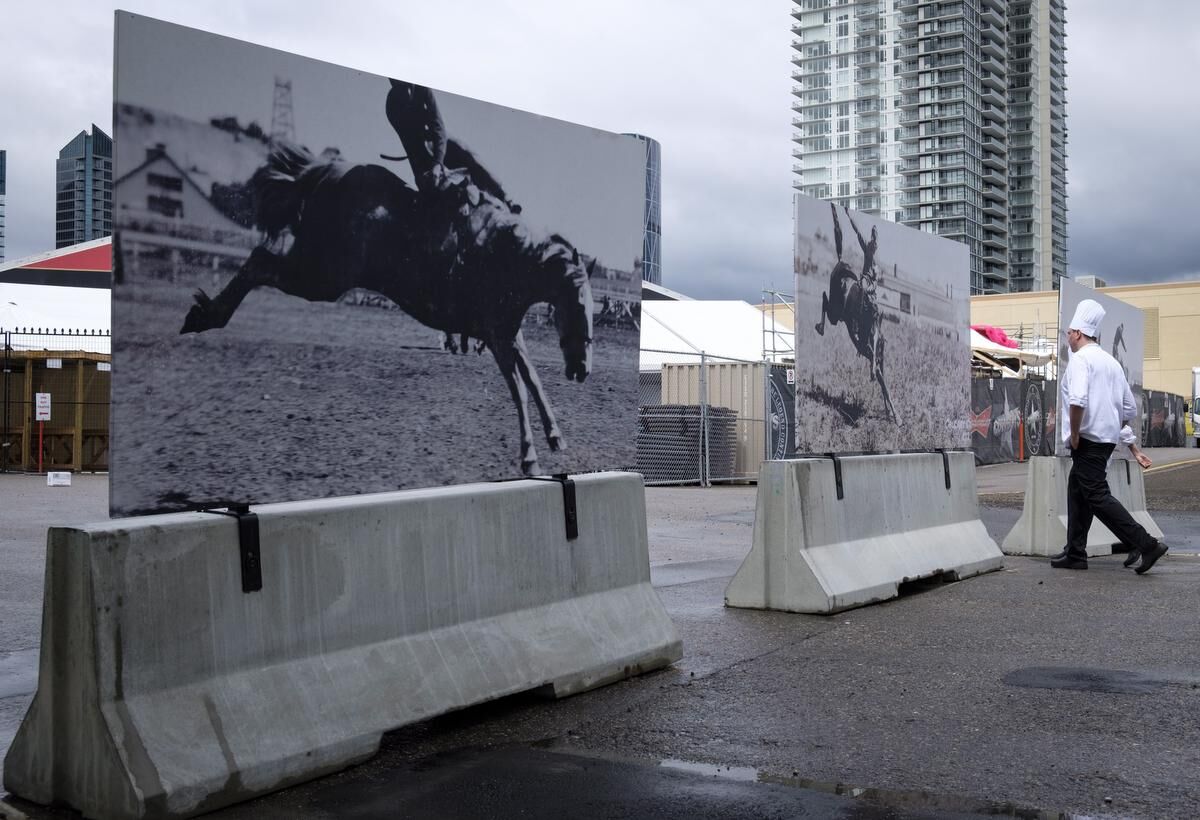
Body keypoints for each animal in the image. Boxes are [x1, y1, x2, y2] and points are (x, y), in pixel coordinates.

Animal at [181, 80, 595, 477]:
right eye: (577, 304)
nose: (581, 369)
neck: (506, 255)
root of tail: (327, 170)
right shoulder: (496, 337)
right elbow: (519, 390)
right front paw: (529, 457)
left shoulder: (510, 333)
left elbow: (534, 380)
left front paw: (555, 437)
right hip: (323, 276)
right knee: (260, 261)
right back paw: (204, 316)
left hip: (320, 270)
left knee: (262, 259)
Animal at [811, 204, 897, 422]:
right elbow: (881, 379)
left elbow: (883, 381)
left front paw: (892, 414)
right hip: (838, 313)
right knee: (825, 301)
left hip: (838, 314)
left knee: (826, 300)